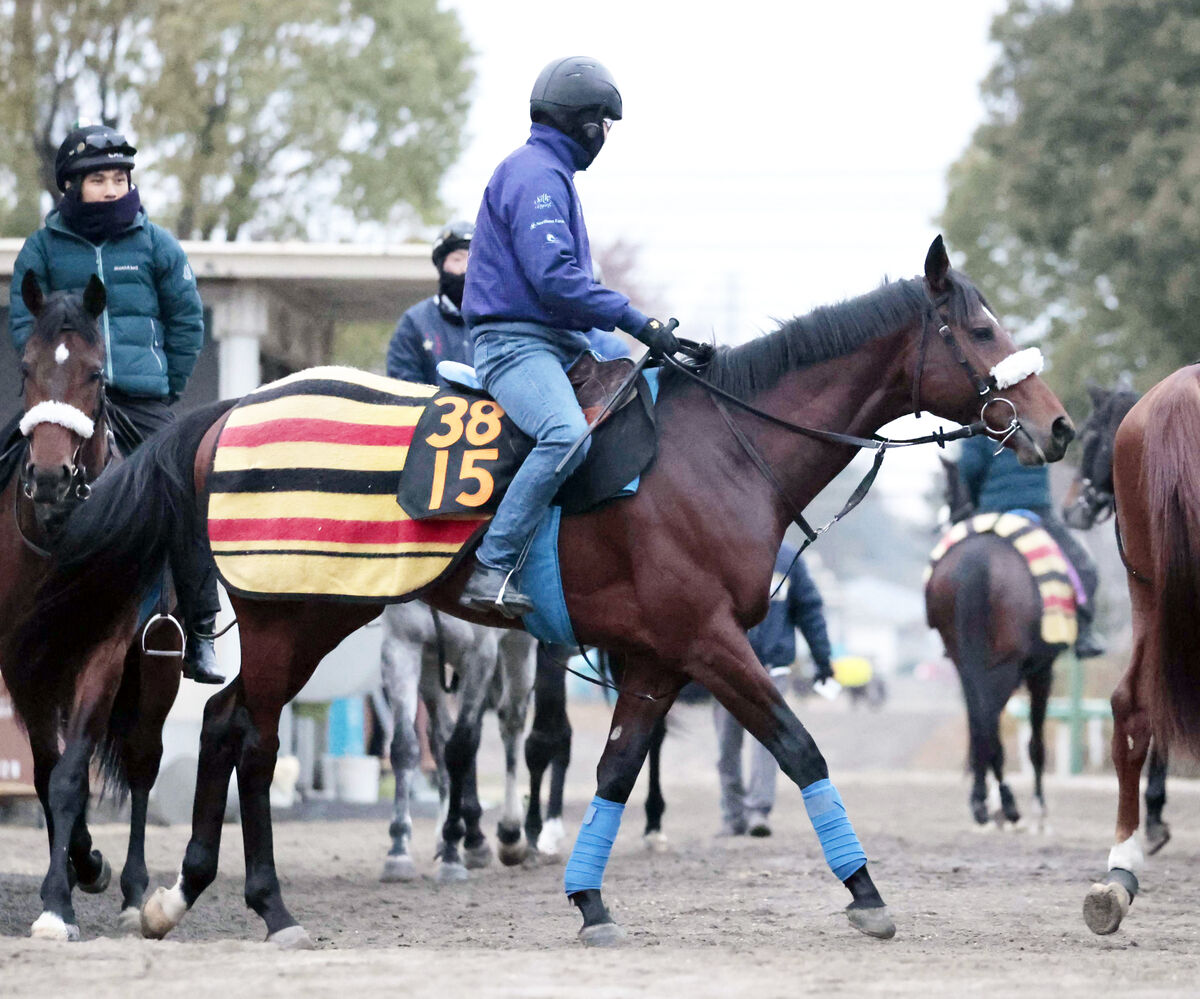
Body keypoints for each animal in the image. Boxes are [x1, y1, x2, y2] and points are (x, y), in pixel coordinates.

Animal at [0, 271, 180, 936]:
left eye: (96, 374)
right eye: (26, 366)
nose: (50, 478)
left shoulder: (103, 654)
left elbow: (73, 774)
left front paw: (59, 899)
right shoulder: (24, 662)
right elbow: (47, 774)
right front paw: (78, 865)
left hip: (156, 670)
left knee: (142, 761)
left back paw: (133, 891)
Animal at [926, 451, 1060, 826]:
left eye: (946, 495)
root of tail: (976, 560)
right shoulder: (1041, 669)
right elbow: (1035, 743)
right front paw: (1038, 805)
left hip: (968, 664)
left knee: (979, 723)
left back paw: (984, 800)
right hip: (1005, 667)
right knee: (988, 720)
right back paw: (1007, 802)